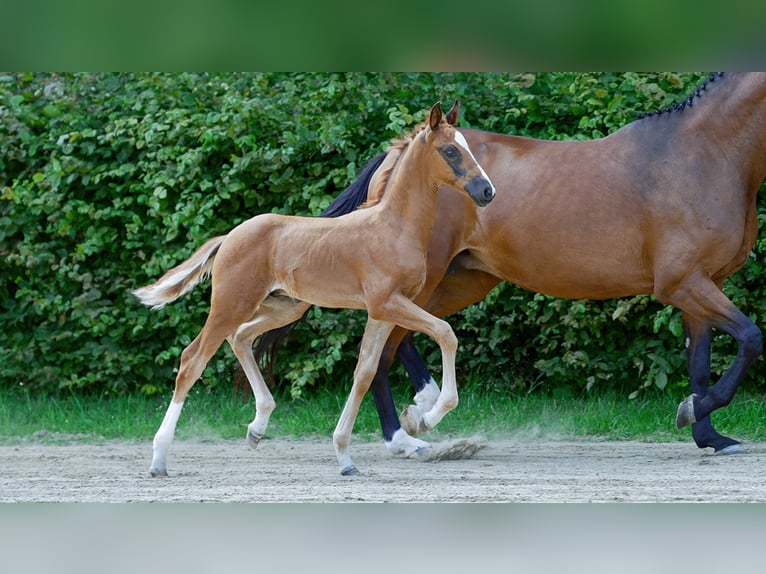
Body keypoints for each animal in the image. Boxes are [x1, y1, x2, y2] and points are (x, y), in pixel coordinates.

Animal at [134, 102, 498, 476]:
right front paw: (427, 418)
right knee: (193, 360)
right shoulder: (387, 304)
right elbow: (446, 333)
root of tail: (230, 237)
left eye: (466, 146)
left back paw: (257, 426)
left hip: (283, 306)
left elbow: (364, 372)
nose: (487, 191)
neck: (392, 228)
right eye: (450, 150)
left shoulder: (382, 313)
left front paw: (345, 458)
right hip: (230, 304)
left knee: (241, 337)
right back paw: (159, 459)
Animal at [258, 72, 766, 460]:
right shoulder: (684, 283)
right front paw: (695, 414)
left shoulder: (702, 284)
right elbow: (751, 338)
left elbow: (700, 364)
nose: (486, 191)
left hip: (462, 280)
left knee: (394, 342)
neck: (701, 155)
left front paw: (709, 434)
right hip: (429, 277)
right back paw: (409, 429)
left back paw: (414, 417)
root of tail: (401, 150)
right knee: (384, 348)